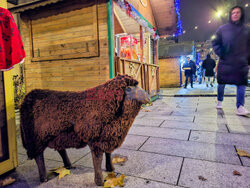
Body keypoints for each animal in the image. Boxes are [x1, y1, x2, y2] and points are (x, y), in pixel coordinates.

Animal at [20, 74, 148, 185]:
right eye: (129, 89)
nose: (147, 96)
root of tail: (28, 97)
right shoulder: (95, 139)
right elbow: (97, 160)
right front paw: (99, 182)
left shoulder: (107, 136)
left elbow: (108, 153)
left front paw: (110, 169)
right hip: (36, 138)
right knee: (38, 156)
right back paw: (44, 178)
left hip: (57, 135)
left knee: (60, 149)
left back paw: (68, 166)